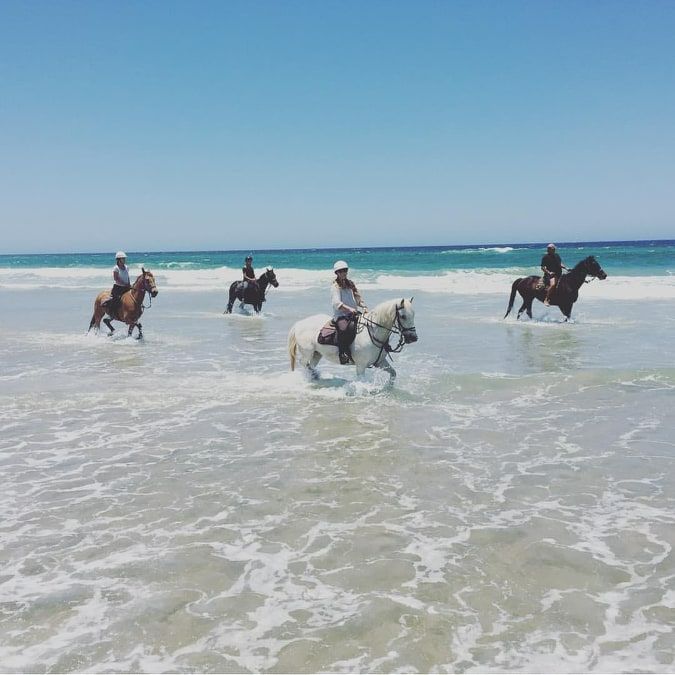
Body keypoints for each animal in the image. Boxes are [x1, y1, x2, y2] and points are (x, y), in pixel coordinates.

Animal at [287, 298, 418, 381]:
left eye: (413, 315)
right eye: (403, 316)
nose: (413, 338)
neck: (372, 333)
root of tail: (299, 324)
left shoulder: (380, 362)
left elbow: (393, 374)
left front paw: (388, 388)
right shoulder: (360, 366)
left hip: (317, 354)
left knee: (311, 365)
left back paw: (314, 376)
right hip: (307, 352)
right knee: (304, 363)